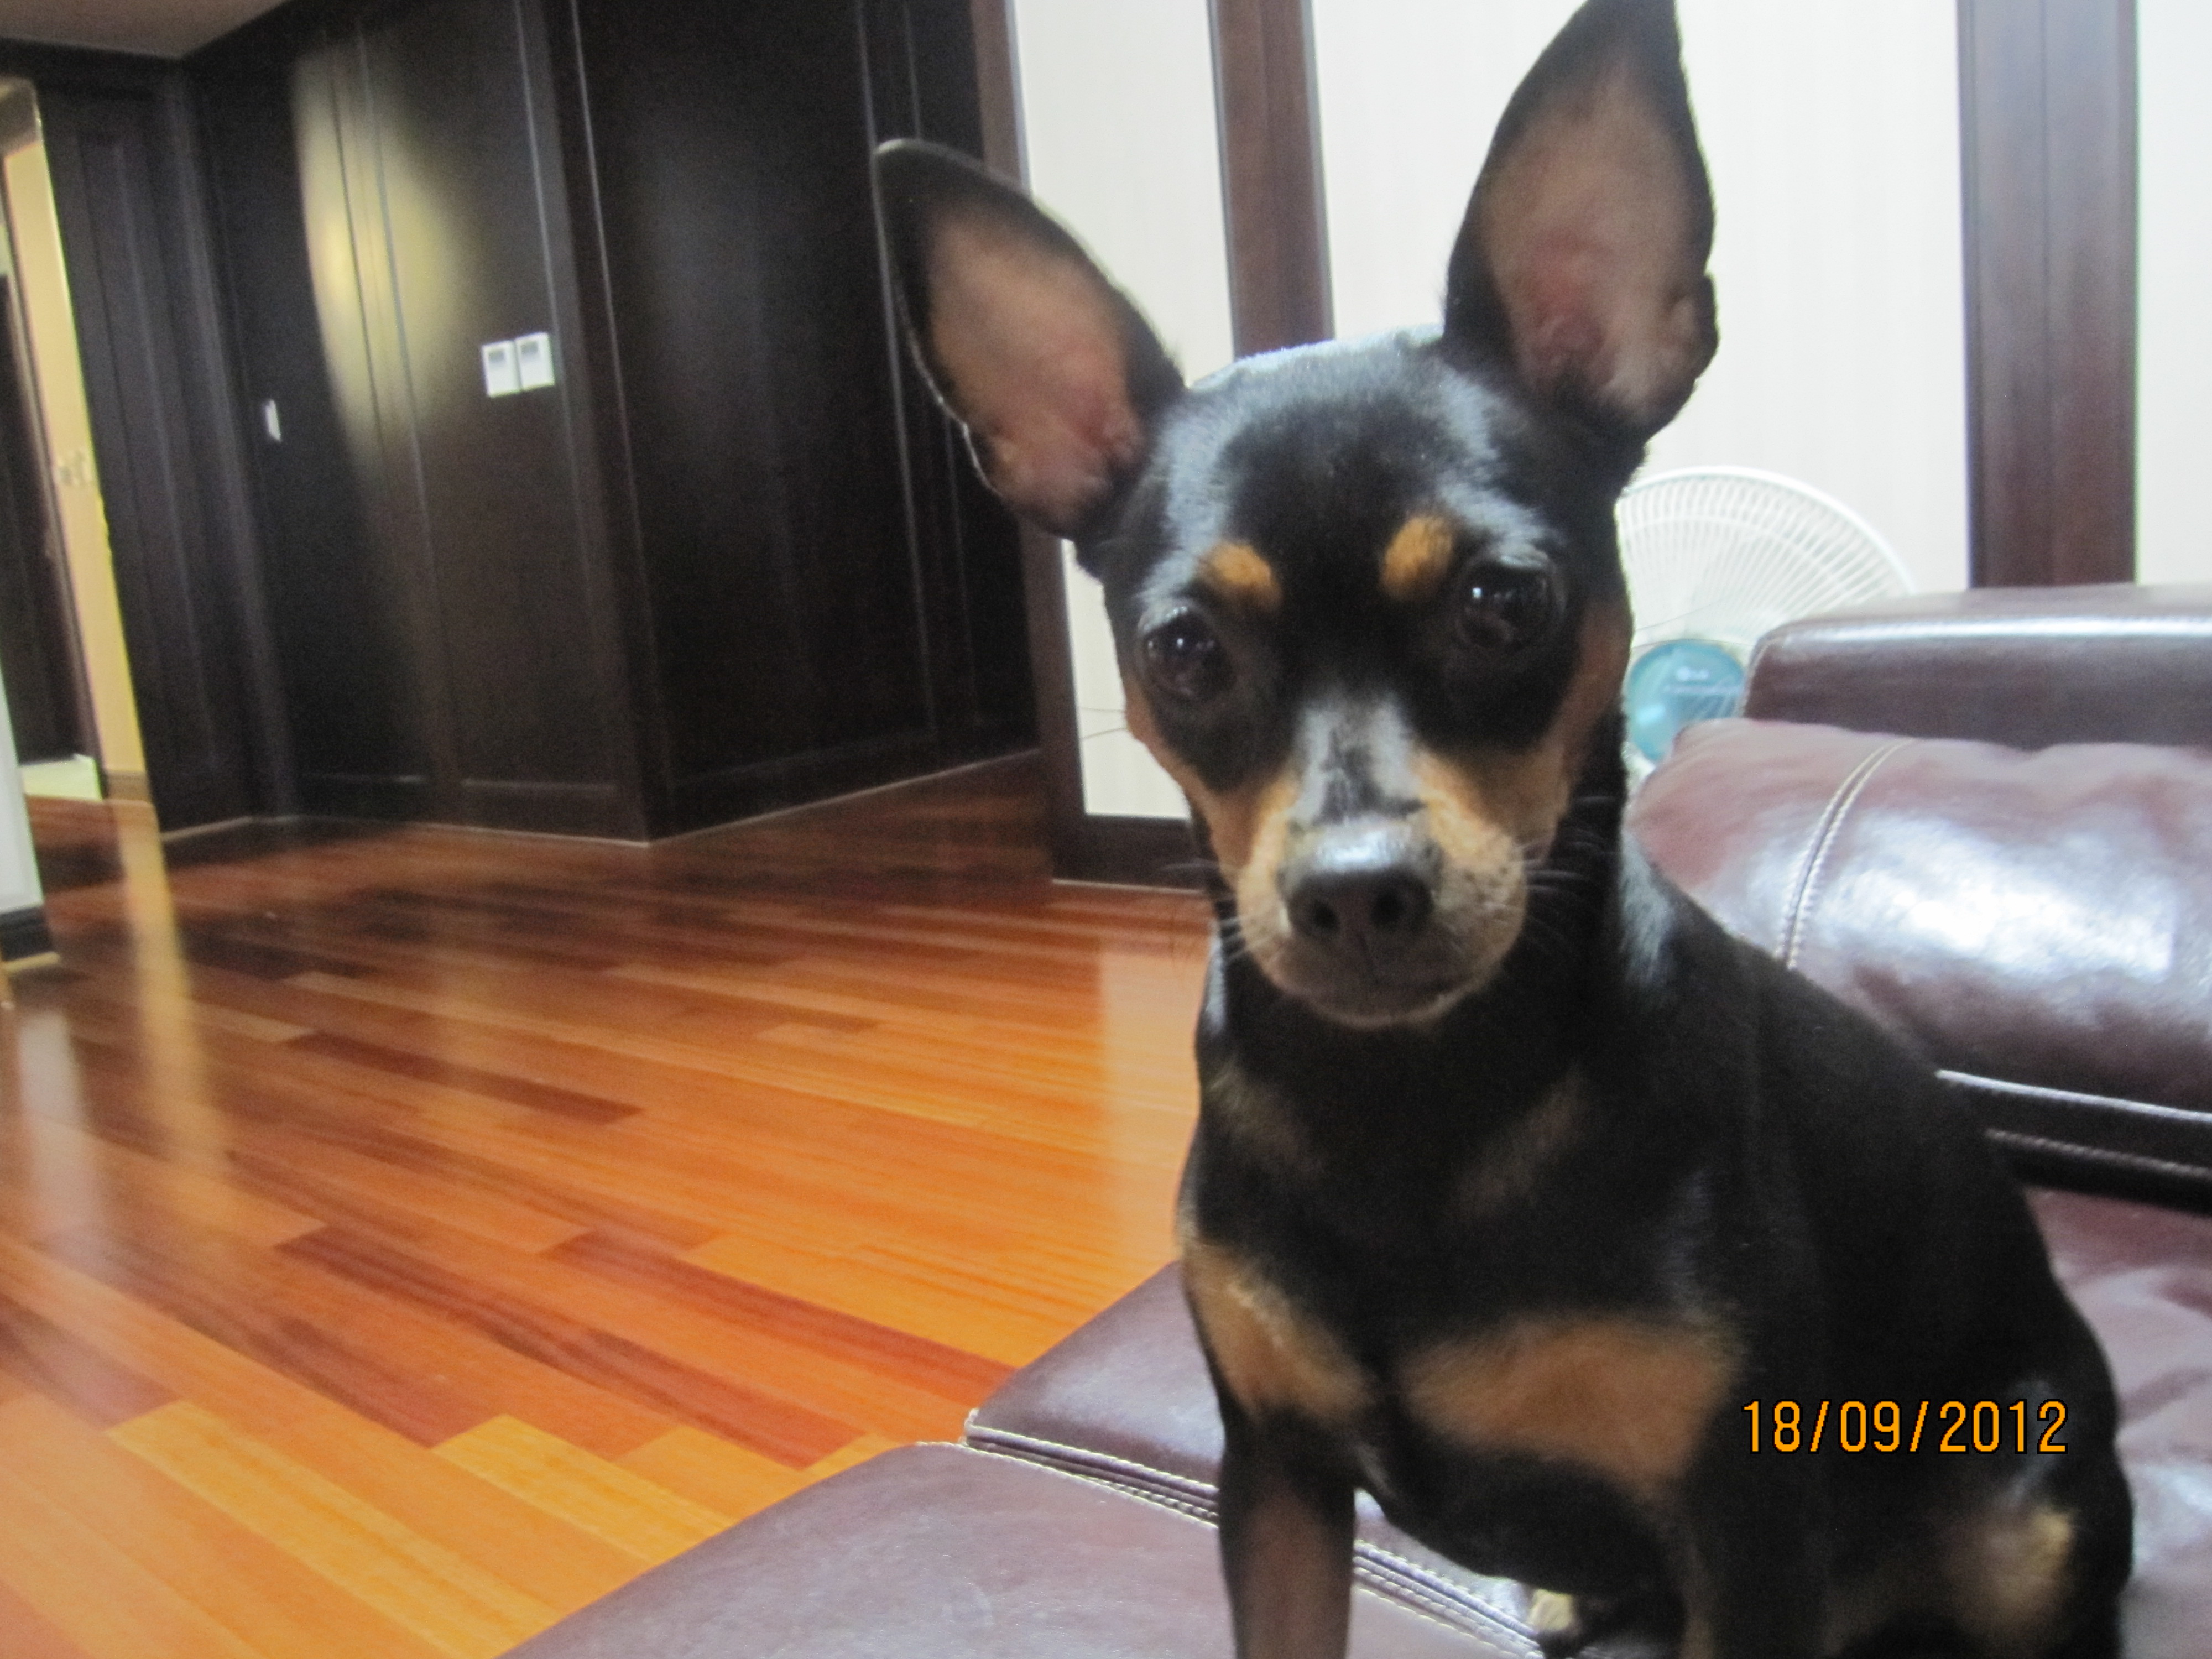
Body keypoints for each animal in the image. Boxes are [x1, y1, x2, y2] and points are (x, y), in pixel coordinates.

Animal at [872, 2, 2132, 1653]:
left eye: (1500, 602)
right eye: (1185, 651)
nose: (1356, 894)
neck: (1410, 1096)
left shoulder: (1745, 1529)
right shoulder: (1273, 1473)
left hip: (2023, 1515)